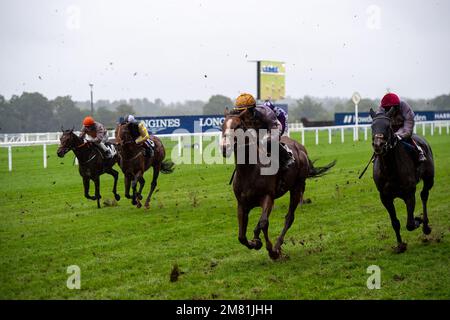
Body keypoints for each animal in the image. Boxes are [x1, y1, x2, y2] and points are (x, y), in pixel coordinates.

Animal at [220, 110, 336, 260]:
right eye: (222, 125)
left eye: (238, 125)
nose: (224, 147)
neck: (249, 170)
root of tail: (301, 147)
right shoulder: (242, 204)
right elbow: (241, 236)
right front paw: (254, 242)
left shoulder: (268, 197)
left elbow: (263, 223)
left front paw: (269, 249)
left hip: (297, 187)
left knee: (289, 218)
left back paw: (277, 245)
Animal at [370, 109, 436, 254]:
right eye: (372, 126)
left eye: (388, 126)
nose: (378, 145)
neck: (390, 170)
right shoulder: (385, 197)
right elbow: (395, 222)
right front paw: (400, 245)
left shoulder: (409, 193)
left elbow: (410, 224)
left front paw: (418, 220)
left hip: (429, 178)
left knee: (424, 195)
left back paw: (426, 225)